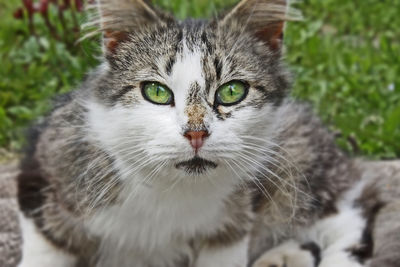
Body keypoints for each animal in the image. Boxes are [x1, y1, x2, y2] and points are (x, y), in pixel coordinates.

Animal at [15, 0, 400, 266]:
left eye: (232, 91)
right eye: (156, 92)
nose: (196, 133)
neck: (169, 189)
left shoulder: (230, 227)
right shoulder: (44, 170)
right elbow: (45, 250)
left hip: (295, 161)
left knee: (350, 211)